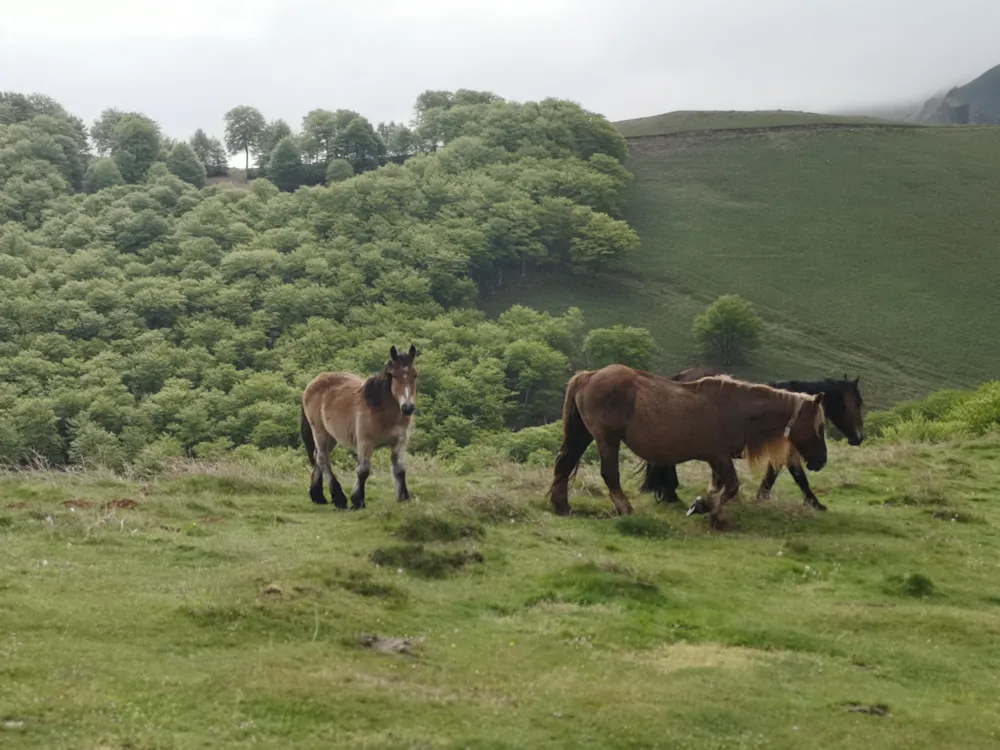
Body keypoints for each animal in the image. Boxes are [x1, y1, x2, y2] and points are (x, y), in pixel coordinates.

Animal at [300, 346, 418, 512]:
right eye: (394, 376)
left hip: (332, 436)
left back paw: (318, 496)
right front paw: (358, 500)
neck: (382, 410)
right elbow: (363, 471)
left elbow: (399, 470)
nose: (408, 407)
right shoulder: (365, 443)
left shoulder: (399, 443)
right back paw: (339, 498)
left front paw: (404, 498)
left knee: (318, 456)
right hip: (319, 432)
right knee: (323, 458)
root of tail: (312, 383)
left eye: (415, 375)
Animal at [548, 366, 828, 520]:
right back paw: (624, 508)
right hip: (607, 439)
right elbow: (731, 487)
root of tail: (589, 376)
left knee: (565, 464)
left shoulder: (717, 460)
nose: (821, 461)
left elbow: (718, 486)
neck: (736, 408)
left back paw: (562, 506)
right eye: (820, 427)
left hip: (583, 434)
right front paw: (709, 510)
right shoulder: (719, 455)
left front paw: (702, 503)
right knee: (609, 474)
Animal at [640, 368, 868, 512]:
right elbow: (797, 477)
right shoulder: (788, 453)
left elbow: (776, 475)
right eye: (857, 403)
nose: (858, 437)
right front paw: (815, 504)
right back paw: (670, 496)